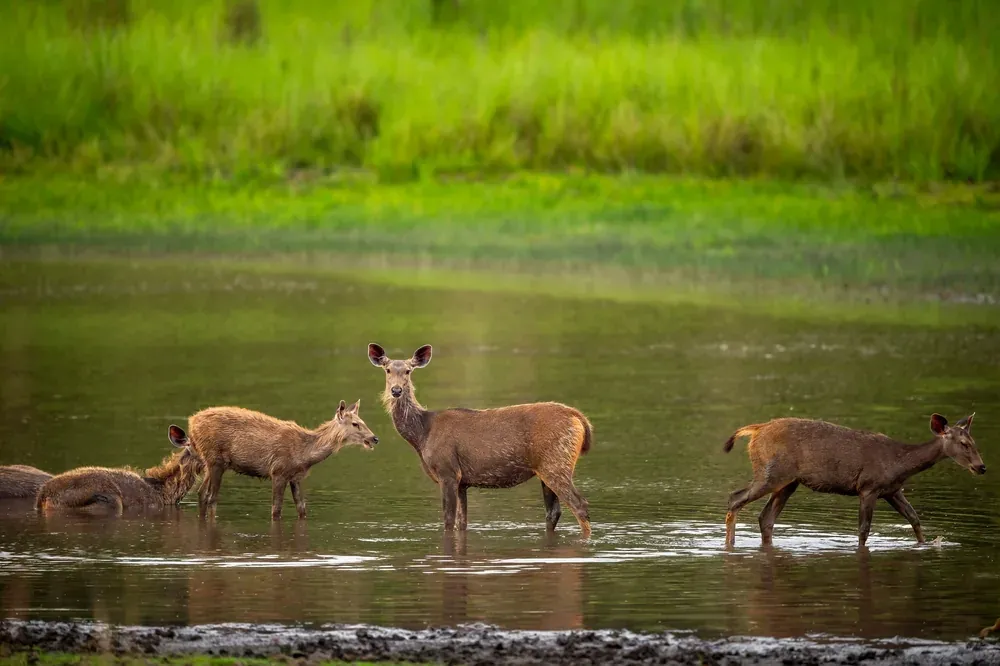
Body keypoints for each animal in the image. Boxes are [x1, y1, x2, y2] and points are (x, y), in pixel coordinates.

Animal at [168, 400, 379, 520]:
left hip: (211, 462)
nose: (374, 438)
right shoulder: (278, 472)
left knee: (201, 494)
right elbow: (276, 509)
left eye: (363, 422)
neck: (305, 454)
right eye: (355, 424)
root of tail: (192, 423)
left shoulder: (296, 477)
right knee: (211, 497)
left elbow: (302, 508)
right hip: (215, 460)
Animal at [368, 343, 594, 536]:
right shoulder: (462, 481)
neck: (422, 435)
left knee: (580, 505)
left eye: (408, 370)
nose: (396, 390)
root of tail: (579, 418)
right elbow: (462, 522)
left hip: (556, 462)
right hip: (545, 469)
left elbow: (448, 521)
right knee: (553, 512)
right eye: (387, 370)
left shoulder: (447, 470)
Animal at [722, 413, 985, 549]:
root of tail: (755, 430)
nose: (981, 467)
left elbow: (914, 518)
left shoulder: (892, 490)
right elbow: (863, 529)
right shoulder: (868, 487)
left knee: (765, 518)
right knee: (735, 498)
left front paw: (926, 544)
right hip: (771, 473)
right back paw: (730, 545)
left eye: (974, 442)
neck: (899, 463)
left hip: (788, 482)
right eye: (964, 444)